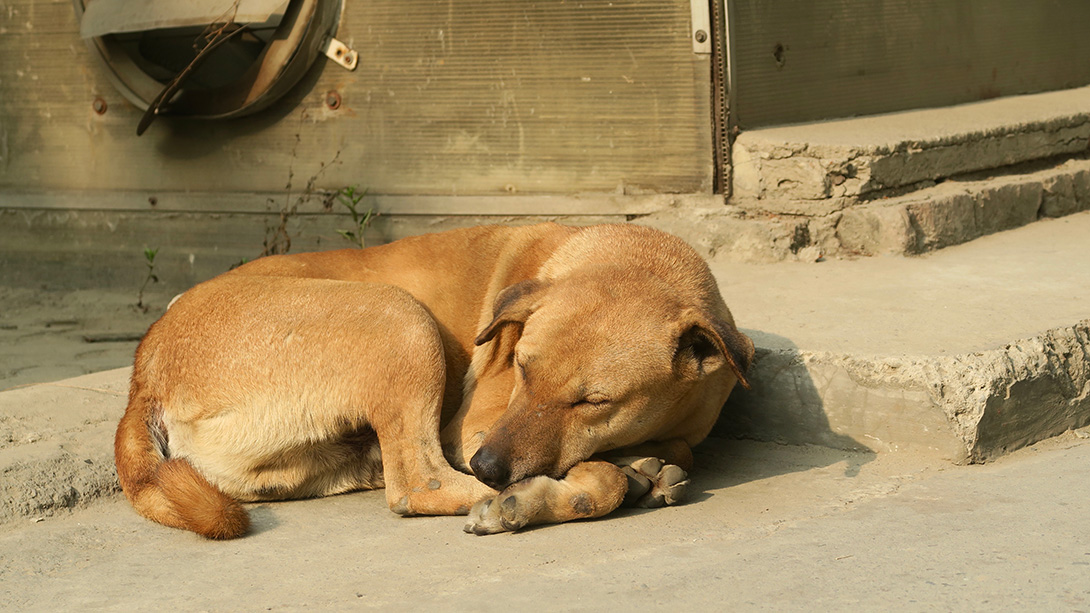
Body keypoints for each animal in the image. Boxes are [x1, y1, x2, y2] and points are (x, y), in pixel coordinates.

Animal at [114, 223, 754, 534]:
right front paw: (576, 487)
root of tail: (145, 368)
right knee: (418, 485)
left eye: (594, 401)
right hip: (400, 316)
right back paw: (517, 499)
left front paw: (645, 465)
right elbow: (602, 478)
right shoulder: (476, 428)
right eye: (521, 367)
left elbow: (661, 454)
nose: (488, 466)